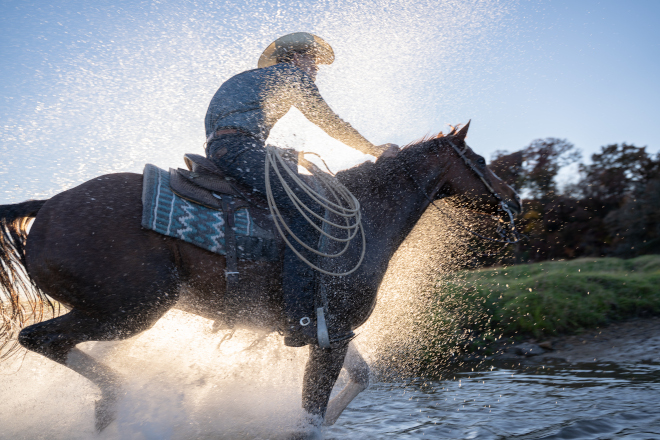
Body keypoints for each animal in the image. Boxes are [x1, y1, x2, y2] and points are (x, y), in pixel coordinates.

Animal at [0, 121, 520, 436]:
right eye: (479, 159)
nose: (515, 200)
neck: (363, 219)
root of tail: (46, 207)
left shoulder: (332, 329)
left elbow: (360, 377)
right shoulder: (331, 336)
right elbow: (311, 419)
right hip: (130, 310)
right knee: (40, 339)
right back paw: (113, 400)